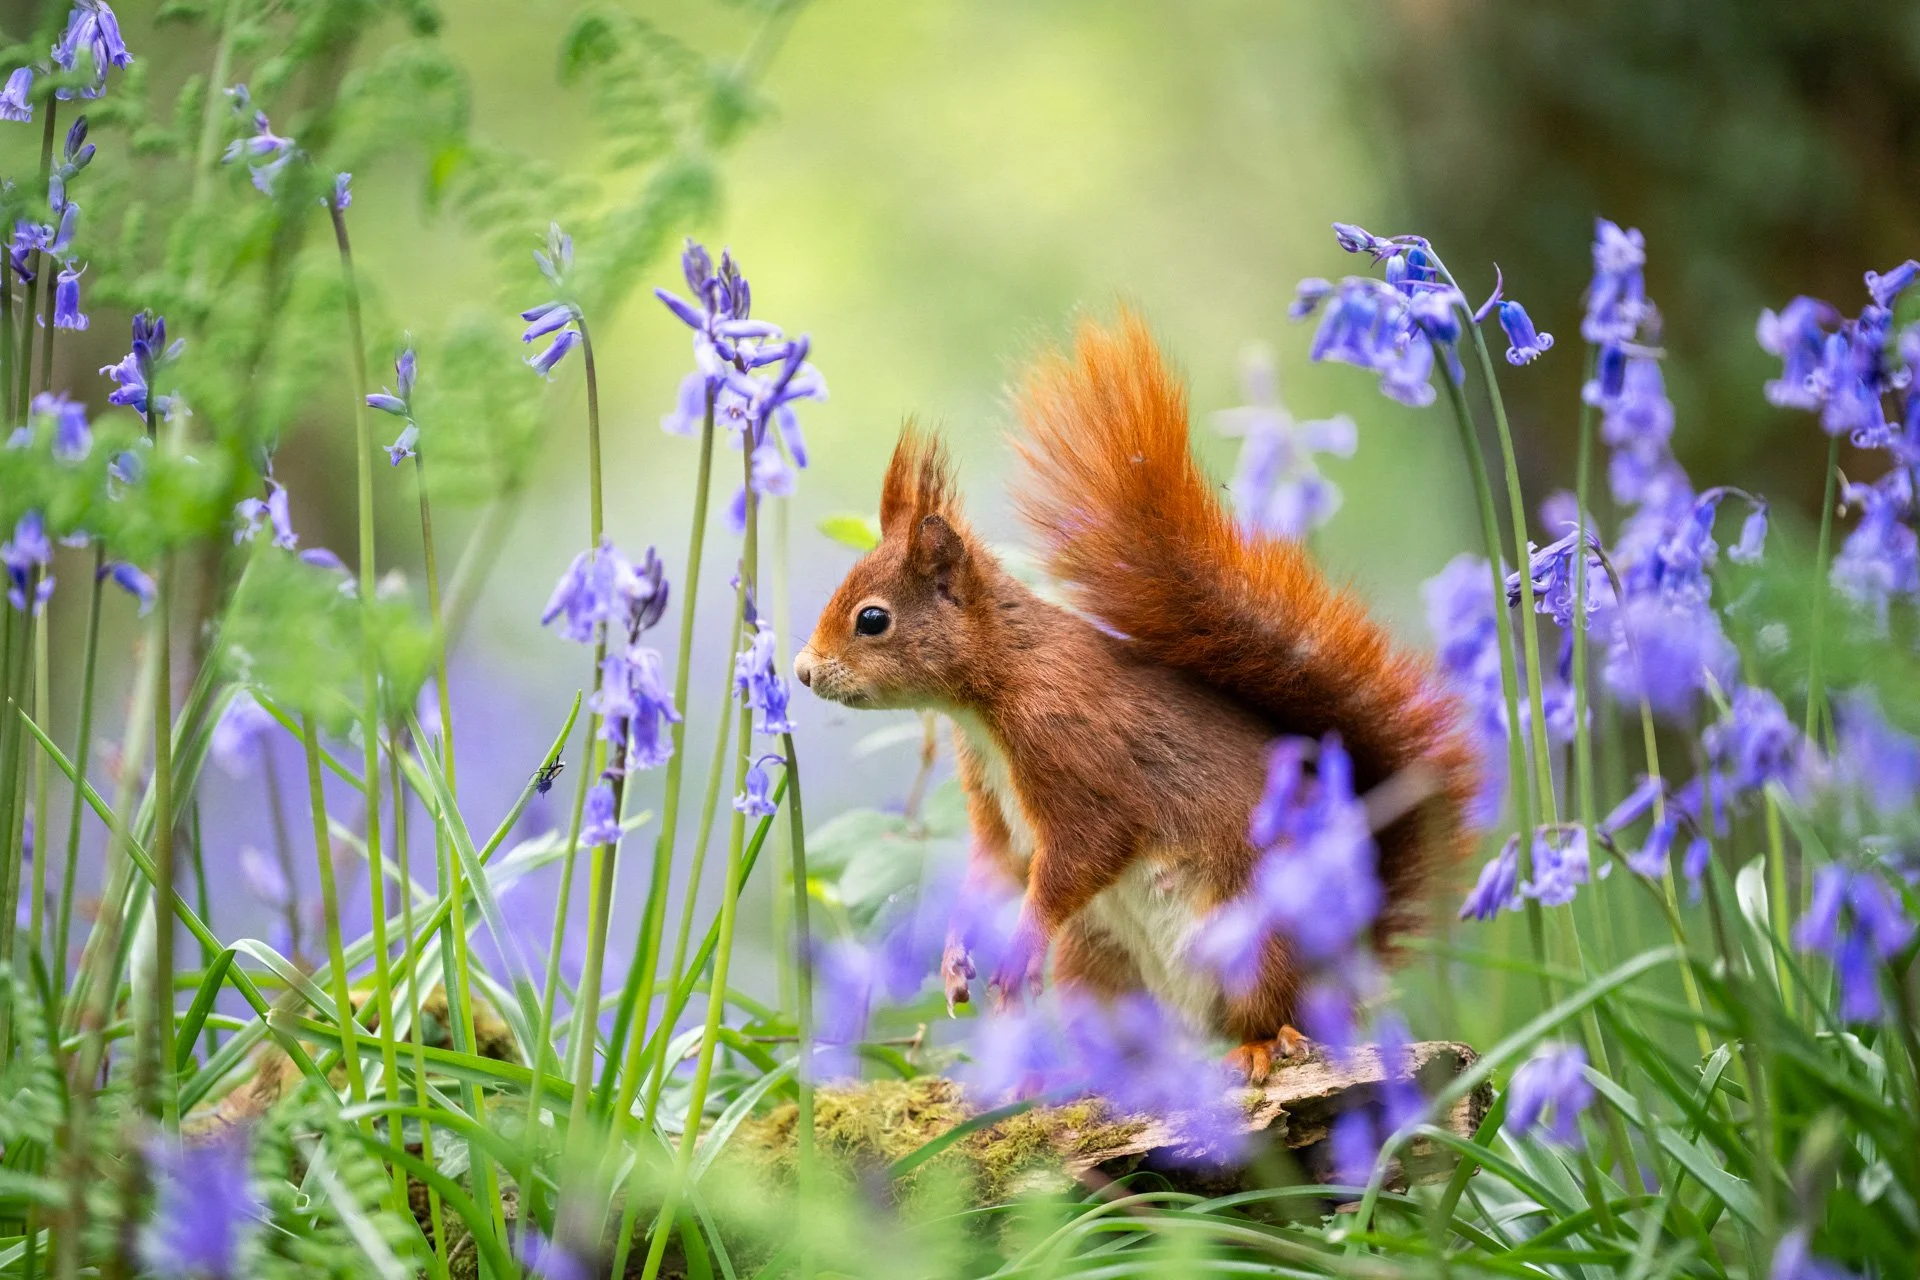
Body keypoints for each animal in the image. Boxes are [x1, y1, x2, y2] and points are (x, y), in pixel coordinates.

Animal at [793, 312, 1478, 1082]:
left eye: (872, 620)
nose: (803, 672)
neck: (994, 691)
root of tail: (1344, 960)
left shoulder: (1074, 749)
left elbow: (1085, 851)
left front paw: (1017, 947)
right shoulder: (991, 800)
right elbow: (991, 867)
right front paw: (953, 959)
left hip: (1259, 938)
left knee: (1273, 1013)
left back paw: (1261, 1045)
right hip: (1099, 961)